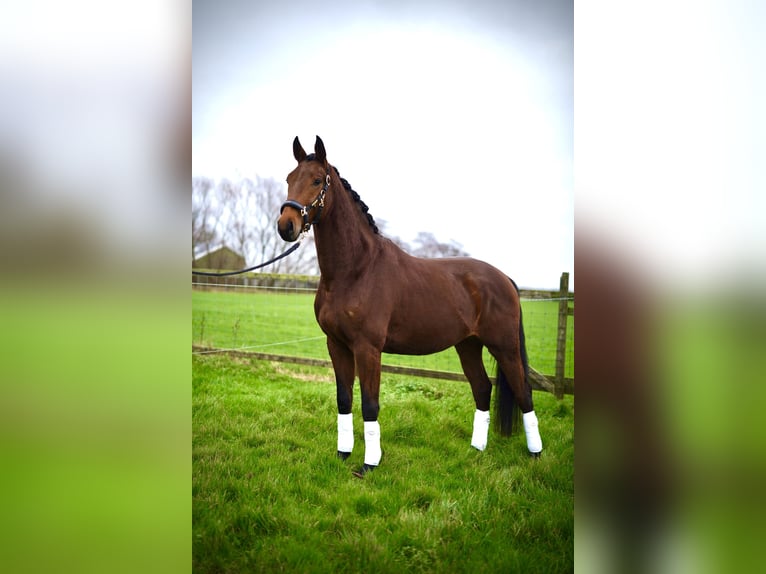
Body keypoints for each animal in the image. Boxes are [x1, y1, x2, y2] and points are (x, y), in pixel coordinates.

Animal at [280, 137, 544, 480]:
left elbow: (370, 404)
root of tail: (505, 279)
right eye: (288, 179)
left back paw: (536, 456)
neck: (356, 270)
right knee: (483, 388)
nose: (286, 225)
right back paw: (476, 451)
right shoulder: (336, 344)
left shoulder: (368, 348)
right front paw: (342, 454)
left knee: (524, 392)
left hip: (505, 346)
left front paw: (368, 465)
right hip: (468, 345)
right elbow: (344, 399)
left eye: (315, 180)